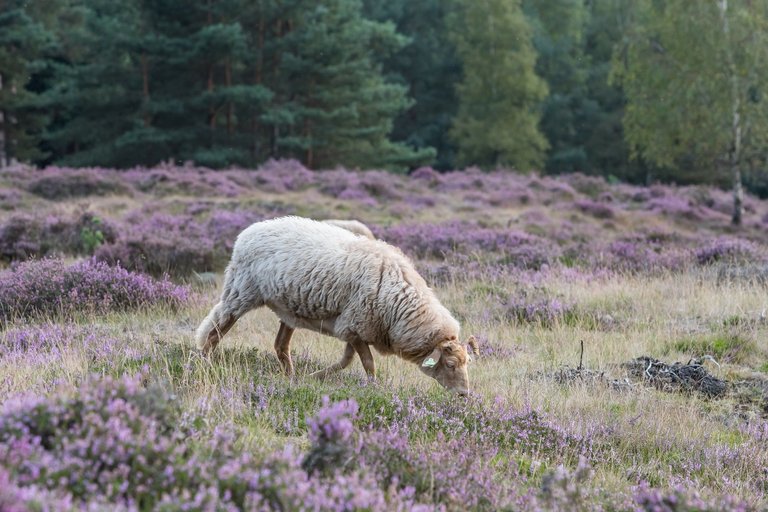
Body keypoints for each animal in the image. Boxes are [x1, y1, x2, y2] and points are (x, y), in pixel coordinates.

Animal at [195, 216, 476, 396]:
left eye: (467, 363)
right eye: (451, 364)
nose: (464, 395)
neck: (400, 305)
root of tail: (248, 231)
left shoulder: (352, 328)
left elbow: (346, 361)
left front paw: (313, 379)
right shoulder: (357, 325)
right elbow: (367, 363)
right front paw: (375, 389)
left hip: (287, 310)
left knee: (281, 346)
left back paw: (291, 378)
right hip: (241, 292)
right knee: (216, 328)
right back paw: (204, 361)